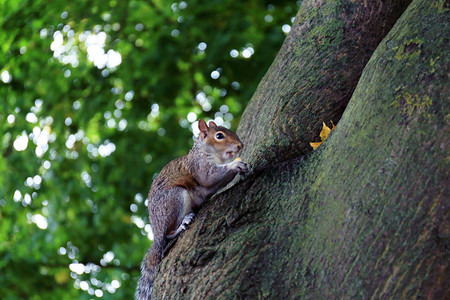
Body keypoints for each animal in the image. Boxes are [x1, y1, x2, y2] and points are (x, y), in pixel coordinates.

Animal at [135, 118, 248, 298]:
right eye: (219, 136)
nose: (240, 145)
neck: (208, 151)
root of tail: (156, 233)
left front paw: (241, 167)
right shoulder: (199, 166)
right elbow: (209, 177)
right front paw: (233, 166)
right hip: (175, 199)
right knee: (168, 234)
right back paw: (182, 224)